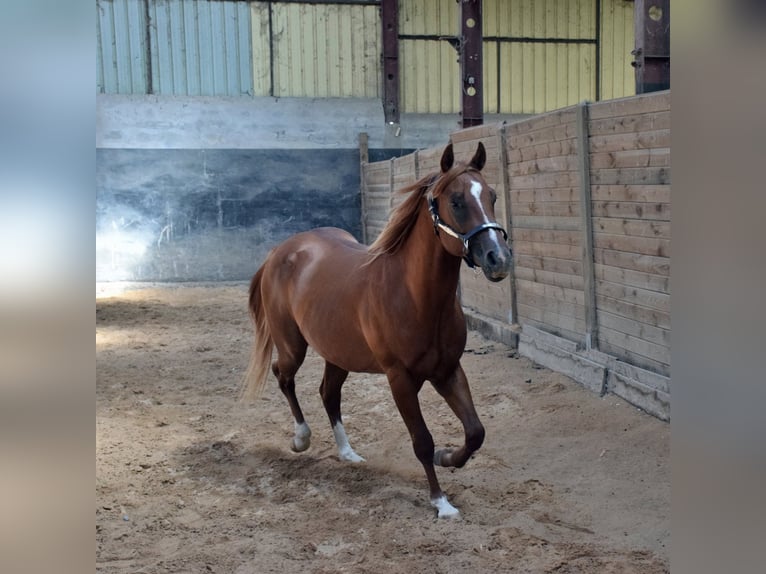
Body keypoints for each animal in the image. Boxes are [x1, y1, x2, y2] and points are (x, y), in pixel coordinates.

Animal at [242, 142, 512, 518]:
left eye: (492, 195)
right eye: (456, 201)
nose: (498, 259)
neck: (414, 296)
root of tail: (280, 251)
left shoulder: (447, 370)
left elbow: (475, 432)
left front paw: (447, 457)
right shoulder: (400, 379)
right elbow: (422, 440)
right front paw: (440, 502)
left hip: (338, 353)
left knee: (328, 393)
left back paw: (347, 453)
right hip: (293, 345)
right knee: (283, 375)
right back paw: (301, 438)